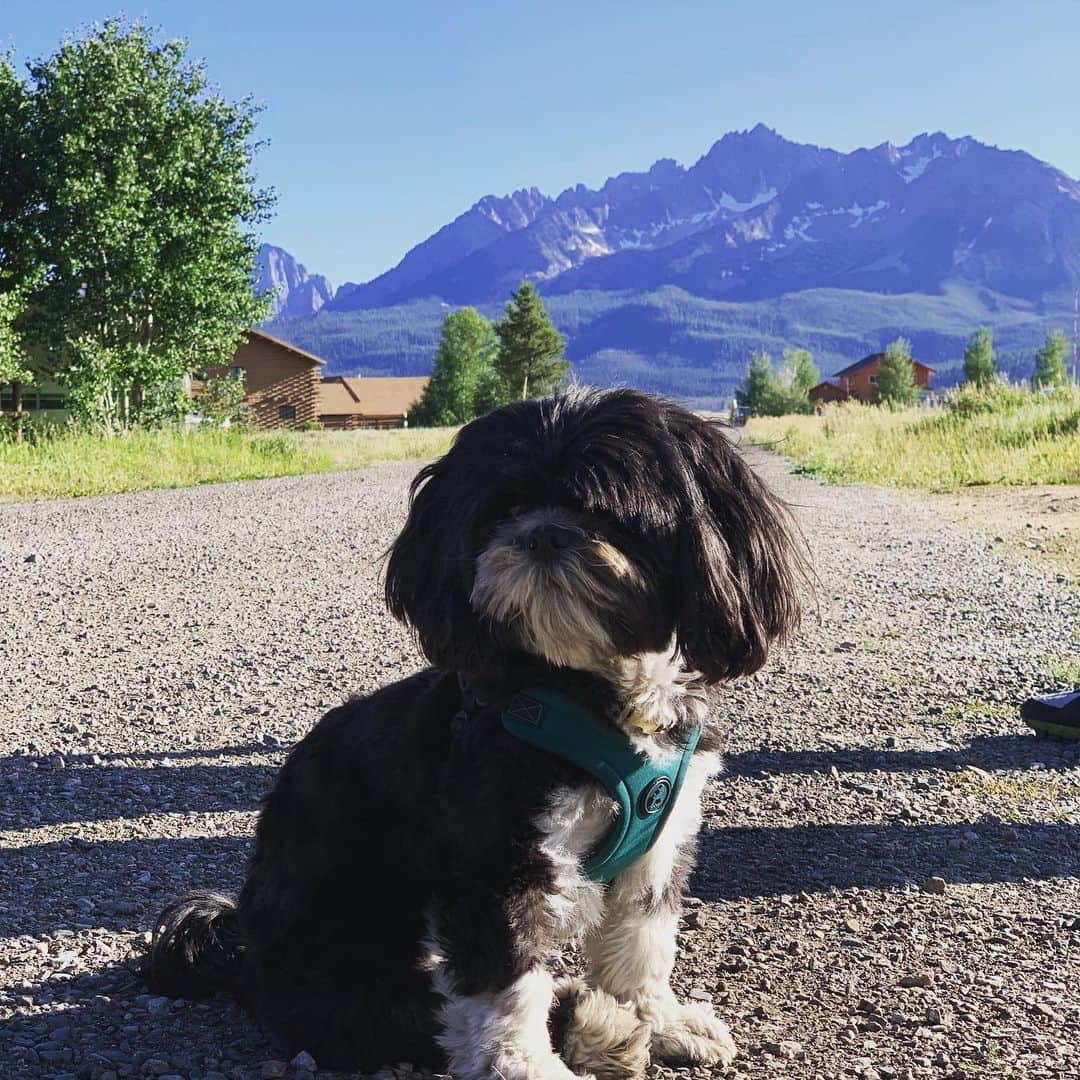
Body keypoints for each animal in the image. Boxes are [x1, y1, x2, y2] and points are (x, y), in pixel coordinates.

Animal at [141, 388, 803, 1080]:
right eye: (502, 509)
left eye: (608, 513)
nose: (542, 532)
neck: (588, 691)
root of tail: (241, 952)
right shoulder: (498, 865)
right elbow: (504, 987)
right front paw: (529, 1066)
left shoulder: (657, 845)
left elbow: (641, 944)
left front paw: (662, 1020)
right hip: (352, 964)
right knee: (406, 1020)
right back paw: (591, 1027)